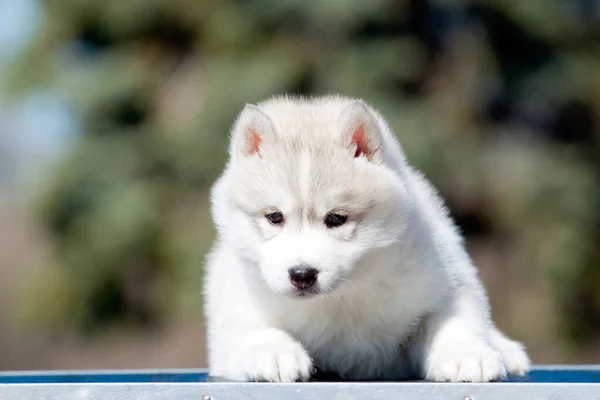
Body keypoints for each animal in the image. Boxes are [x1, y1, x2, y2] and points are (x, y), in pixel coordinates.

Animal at [203, 95, 528, 382]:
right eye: (275, 217)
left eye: (336, 218)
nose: (302, 275)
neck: (340, 299)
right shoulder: (235, 307)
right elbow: (253, 332)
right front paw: (274, 353)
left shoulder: (446, 277)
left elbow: (451, 319)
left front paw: (465, 355)